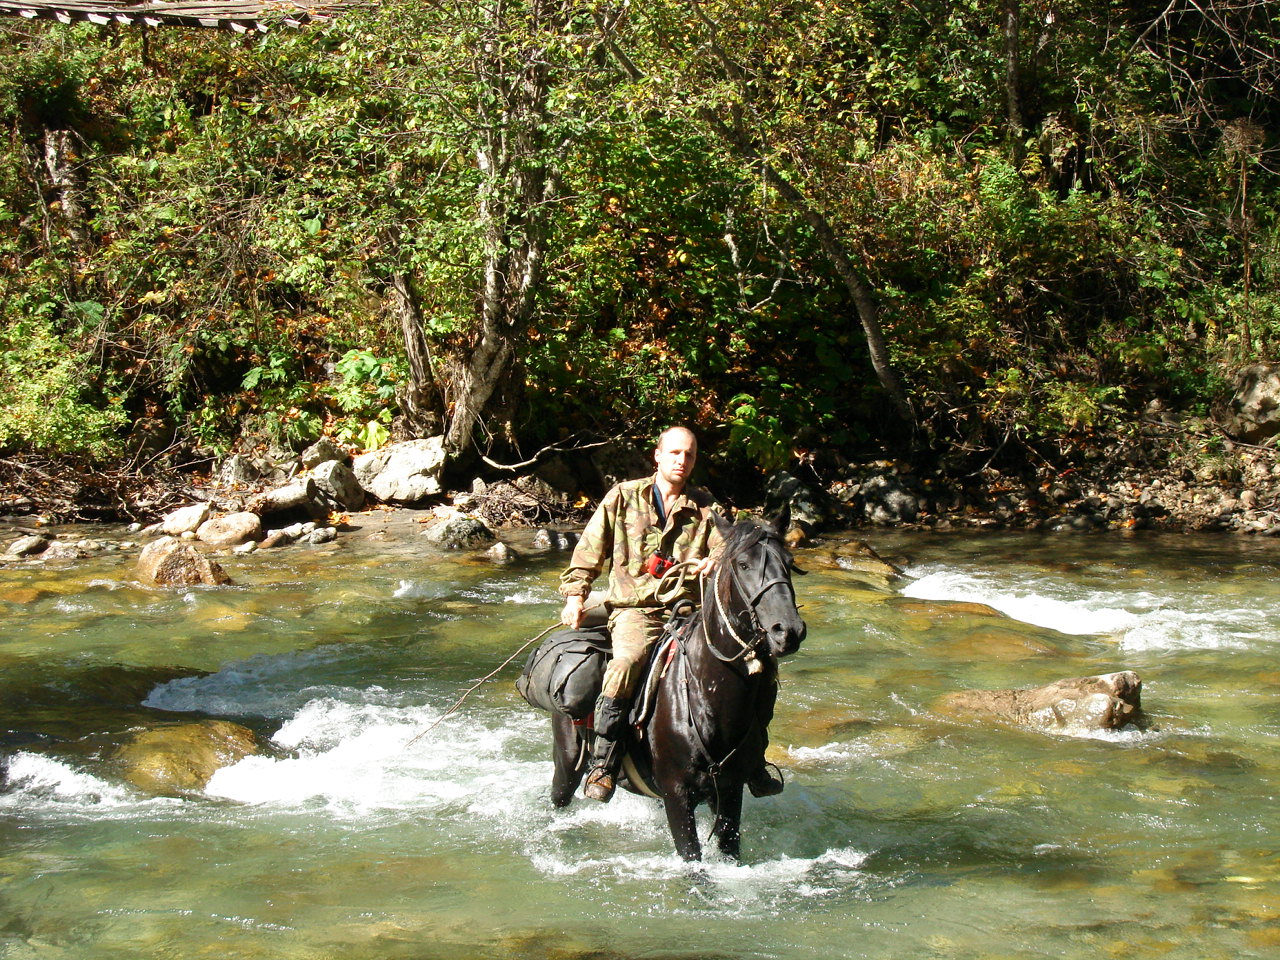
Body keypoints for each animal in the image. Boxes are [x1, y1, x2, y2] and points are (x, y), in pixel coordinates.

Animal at [545, 514, 803, 860]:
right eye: (743, 564)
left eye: (789, 562)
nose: (788, 631)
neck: (708, 699)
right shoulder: (677, 796)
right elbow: (692, 860)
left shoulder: (730, 791)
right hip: (567, 761)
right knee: (559, 795)